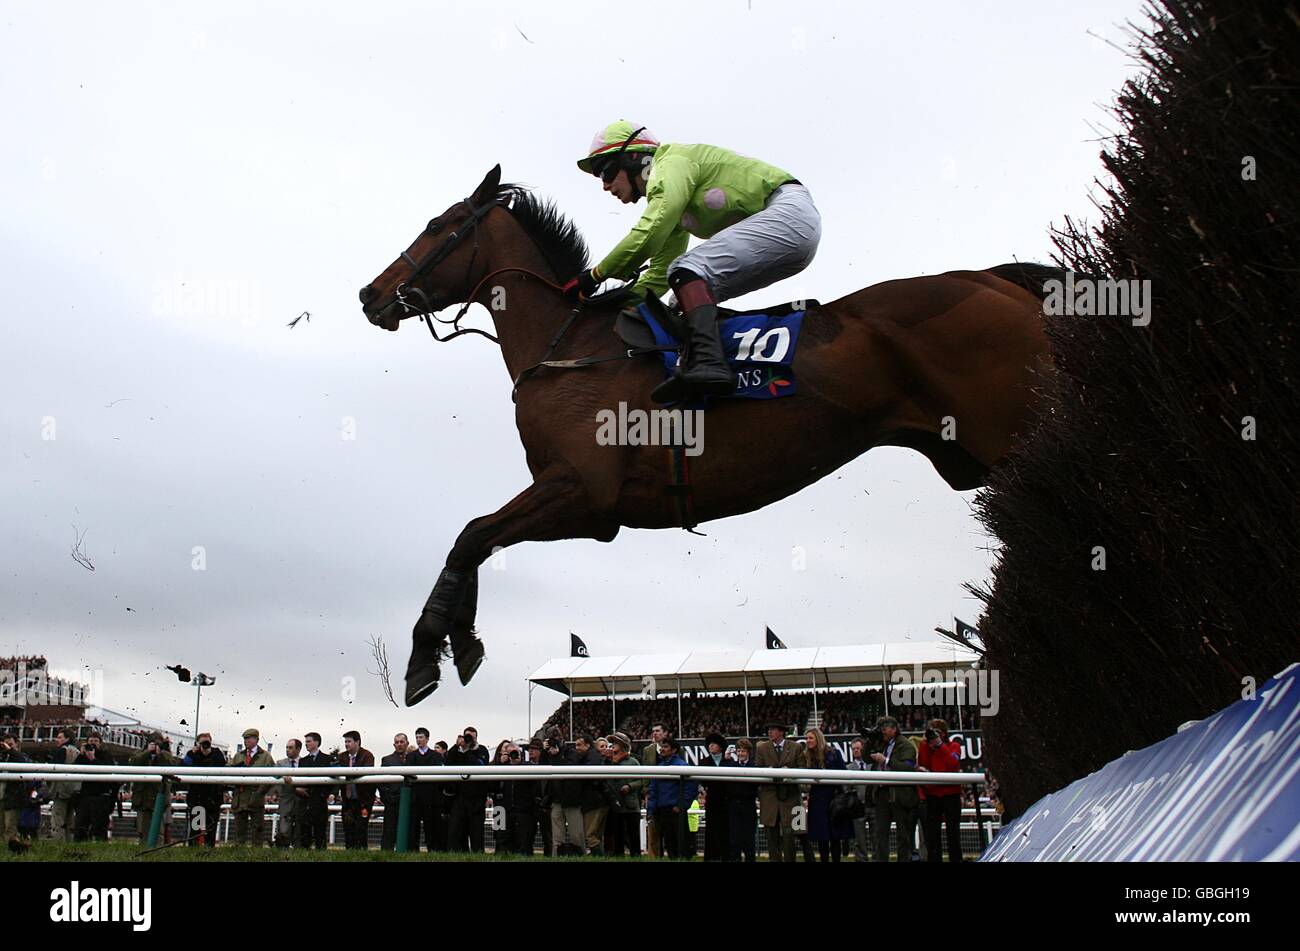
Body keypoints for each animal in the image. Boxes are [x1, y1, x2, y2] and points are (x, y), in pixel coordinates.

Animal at [358, 163, 1055, 701]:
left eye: (438, 225)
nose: (370, 295)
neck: (568, 346)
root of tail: (993, 278)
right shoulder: (576, 501)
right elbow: (478, 540)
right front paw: (463, 644)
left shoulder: (585, 494)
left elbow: (471, 535)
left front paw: (426, 656)